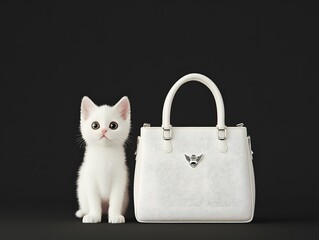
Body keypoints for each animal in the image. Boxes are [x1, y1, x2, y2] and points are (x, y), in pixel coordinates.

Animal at [75, 95, 131, 223]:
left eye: (113, 125)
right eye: (95, 125)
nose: (104, 130)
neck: (104, 154)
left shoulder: (119, 179)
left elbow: (115, 200)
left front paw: (115, 216)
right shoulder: (90, 180)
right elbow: (94, 201)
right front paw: (94, 216)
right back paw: (83, 212)